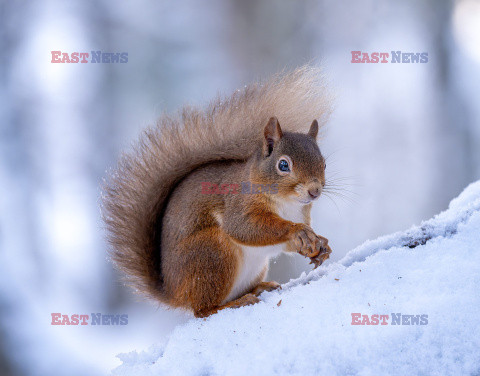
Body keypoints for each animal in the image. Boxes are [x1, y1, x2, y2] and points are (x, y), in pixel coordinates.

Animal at [101, 65, 334, 318]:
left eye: (324, 163)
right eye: (283, 165)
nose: (314, 191)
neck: (287, 203)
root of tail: (173, 292)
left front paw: (320, 243)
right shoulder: (238, 203)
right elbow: (244, 227)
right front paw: (296, 231)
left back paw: (260, 288)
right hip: (212, 253)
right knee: (203, 310)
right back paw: (234, 304)